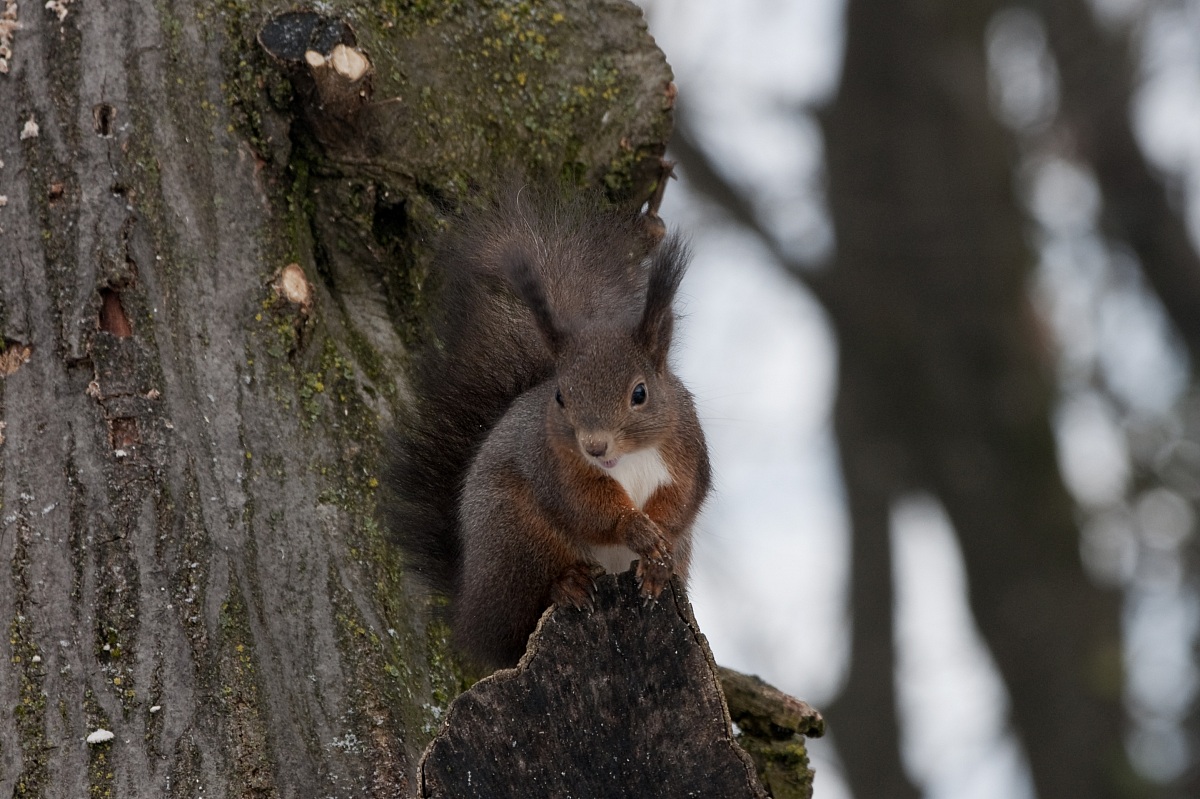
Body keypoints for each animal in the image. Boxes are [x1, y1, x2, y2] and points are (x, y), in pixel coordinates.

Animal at [383, 186, 711, 669]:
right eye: (561, 396)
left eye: (640, 393)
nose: (594, 446)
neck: (627, 459)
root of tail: (470, 605)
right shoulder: (557, 465)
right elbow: (587, 506)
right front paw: (635, 528)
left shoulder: (686, 452)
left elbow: (684, 502)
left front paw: (656, 553)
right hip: (517, 540)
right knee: (521, 613)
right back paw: (567, 585)